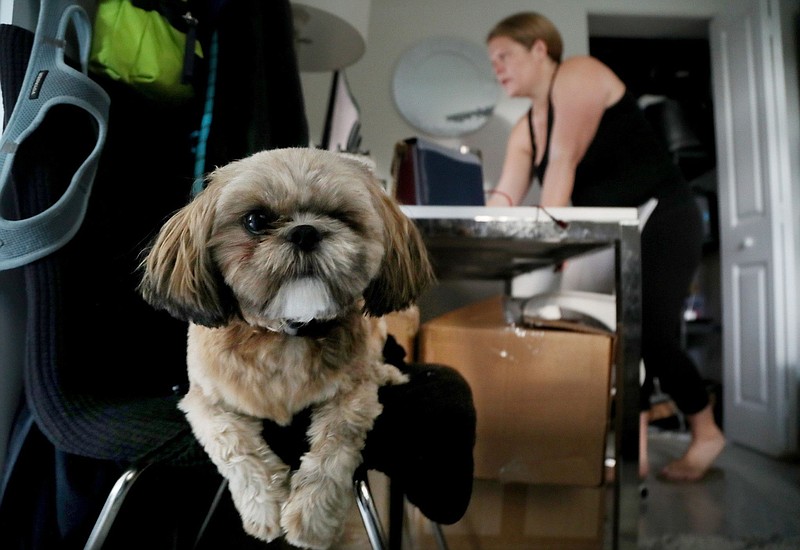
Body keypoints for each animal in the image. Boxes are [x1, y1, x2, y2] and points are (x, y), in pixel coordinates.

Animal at [141, 149, 434, 548]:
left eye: (341, 216)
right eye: (255, 220)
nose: (305, 232)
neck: (287, 333)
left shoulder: (353, 398)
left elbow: (333, 451)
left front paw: (311, 521)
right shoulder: (203, 403)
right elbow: (235, 447)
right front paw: (265, 509)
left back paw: (386, 372)